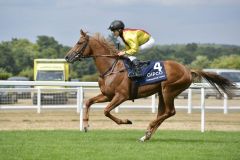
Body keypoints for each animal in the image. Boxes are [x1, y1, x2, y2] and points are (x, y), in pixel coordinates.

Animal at [64, 29, 235, 141]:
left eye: (79, 42)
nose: (67, 57)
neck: (111, 67)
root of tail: (188, 69)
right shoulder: (108, 95)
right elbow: (88, 102)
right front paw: (86, 125)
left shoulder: (121, 96)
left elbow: (106, 111)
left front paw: (126, 121)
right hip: (161, 93)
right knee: (162, 113)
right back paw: (146, 135)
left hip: (168, 90)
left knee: (170, 112)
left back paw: (148, 129)